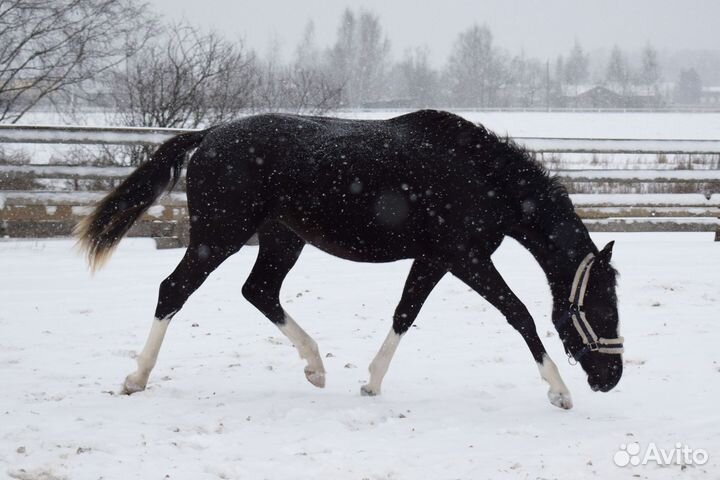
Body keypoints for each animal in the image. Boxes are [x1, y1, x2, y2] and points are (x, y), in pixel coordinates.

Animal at [76, 109, 620, 408]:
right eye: (603, 310)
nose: (611, 379)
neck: (480, 176)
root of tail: (209, 135)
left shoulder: (435, 259)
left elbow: (405, 312)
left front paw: (371, 384)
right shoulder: (465, 258)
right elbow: (519, 313)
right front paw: (560, 392)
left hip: (281, 239)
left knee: (259, 291)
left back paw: (316, 368)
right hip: (219, 235)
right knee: (174, 289)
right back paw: (136, 379)